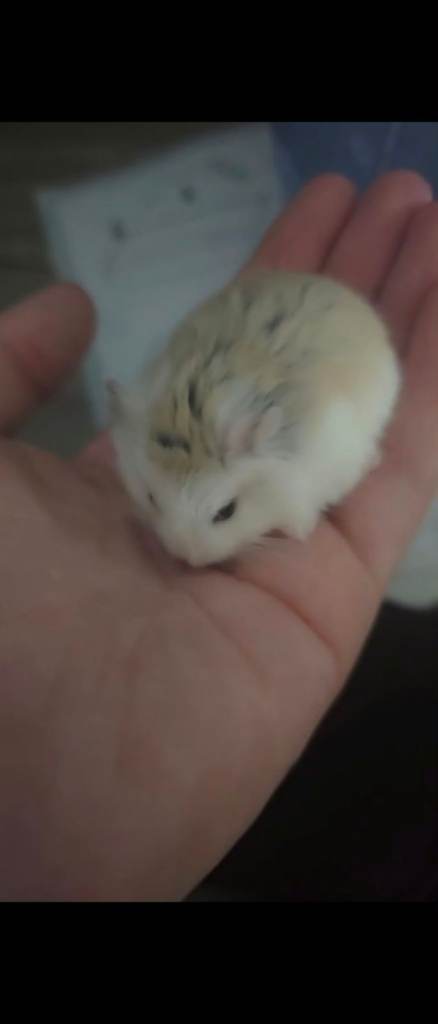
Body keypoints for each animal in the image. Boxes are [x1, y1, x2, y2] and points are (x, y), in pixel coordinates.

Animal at [109, 270, 401, 567]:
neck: (198, 420)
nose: (186, 558)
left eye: (227, 511)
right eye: (152, 498)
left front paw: (299, 532)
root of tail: (335, 288)